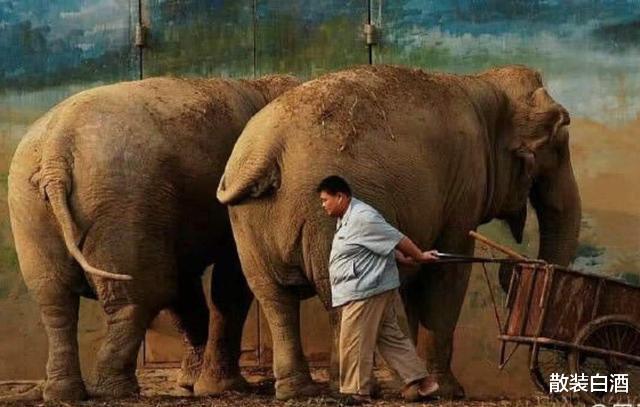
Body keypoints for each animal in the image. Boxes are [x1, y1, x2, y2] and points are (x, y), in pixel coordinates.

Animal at [7, 74, 300, 401]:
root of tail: (55, 155)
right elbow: (228, 281)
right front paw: (220, 388)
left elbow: (188, 287)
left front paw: (190, 384)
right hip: (123, 202)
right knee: (143, 294)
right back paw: (116, 391)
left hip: (31, 208)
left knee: (54, 299)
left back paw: (65, 393)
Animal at [217, 64, 581, 400]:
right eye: (557, 148)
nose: (512, 272)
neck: (482, 85)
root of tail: (264, 152)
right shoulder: (464, 185)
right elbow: (447, 275)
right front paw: (447, 391)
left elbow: (419, 280)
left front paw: (418, 388)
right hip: (319, 219)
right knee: (335, 296)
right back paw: (353, 388)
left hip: (247, 220)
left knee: (274, 298)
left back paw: (300, 391)